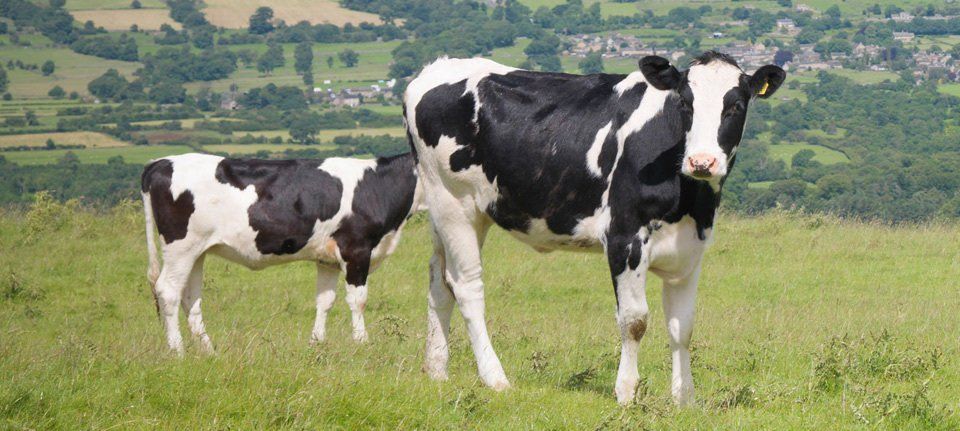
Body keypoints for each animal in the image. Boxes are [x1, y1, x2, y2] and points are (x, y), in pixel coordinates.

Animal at [141, 152, 424, 354]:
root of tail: (160, 162)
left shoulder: (327, 259)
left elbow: (325, 301)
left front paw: (316, 344)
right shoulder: (356, 249)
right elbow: (358, 300)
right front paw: (362, 342)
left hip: (197, 251)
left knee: (190, 298)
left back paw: (209, 351)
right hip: (180, 246)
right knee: (168, 291)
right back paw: (177, 351)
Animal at [403, 51, 785, 405]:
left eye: (736, 106)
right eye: (685, 103)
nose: (702, 161)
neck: (688, 198)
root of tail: (434, 69)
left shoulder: (691, 248)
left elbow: (683, 326)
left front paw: (684, 399)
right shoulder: (624, 238)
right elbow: (635, 320)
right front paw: (627, 392)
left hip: (448, 210)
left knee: (439, 280)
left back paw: (436, 369)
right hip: (455, 203)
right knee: (467, 286)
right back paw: (495, 378)